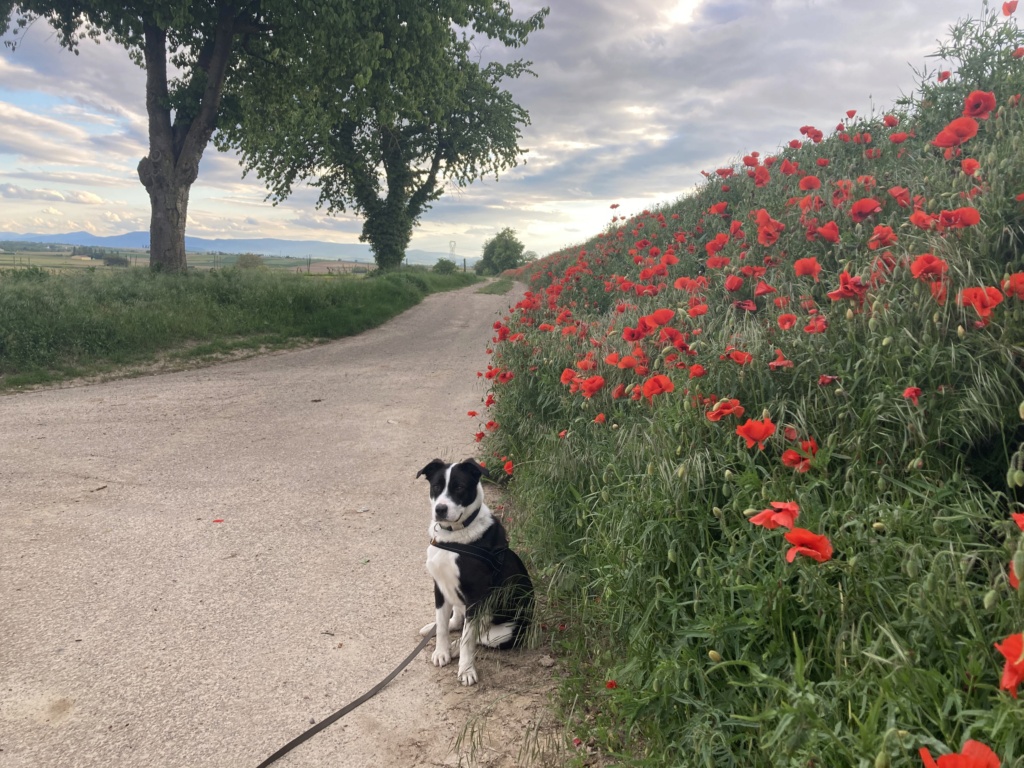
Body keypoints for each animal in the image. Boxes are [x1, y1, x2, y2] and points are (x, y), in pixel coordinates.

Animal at [415, 456, 532, 684]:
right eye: (436, 487)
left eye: (459, 487)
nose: (440, 509)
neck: (454, 537)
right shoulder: (440, 587)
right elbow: (442, 626)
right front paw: (441, 651)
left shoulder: (476, 597)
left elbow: (467, 641)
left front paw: (466, 669)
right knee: (456, 622)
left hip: (506, 632)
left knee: (476, 635)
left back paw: (455, 648)